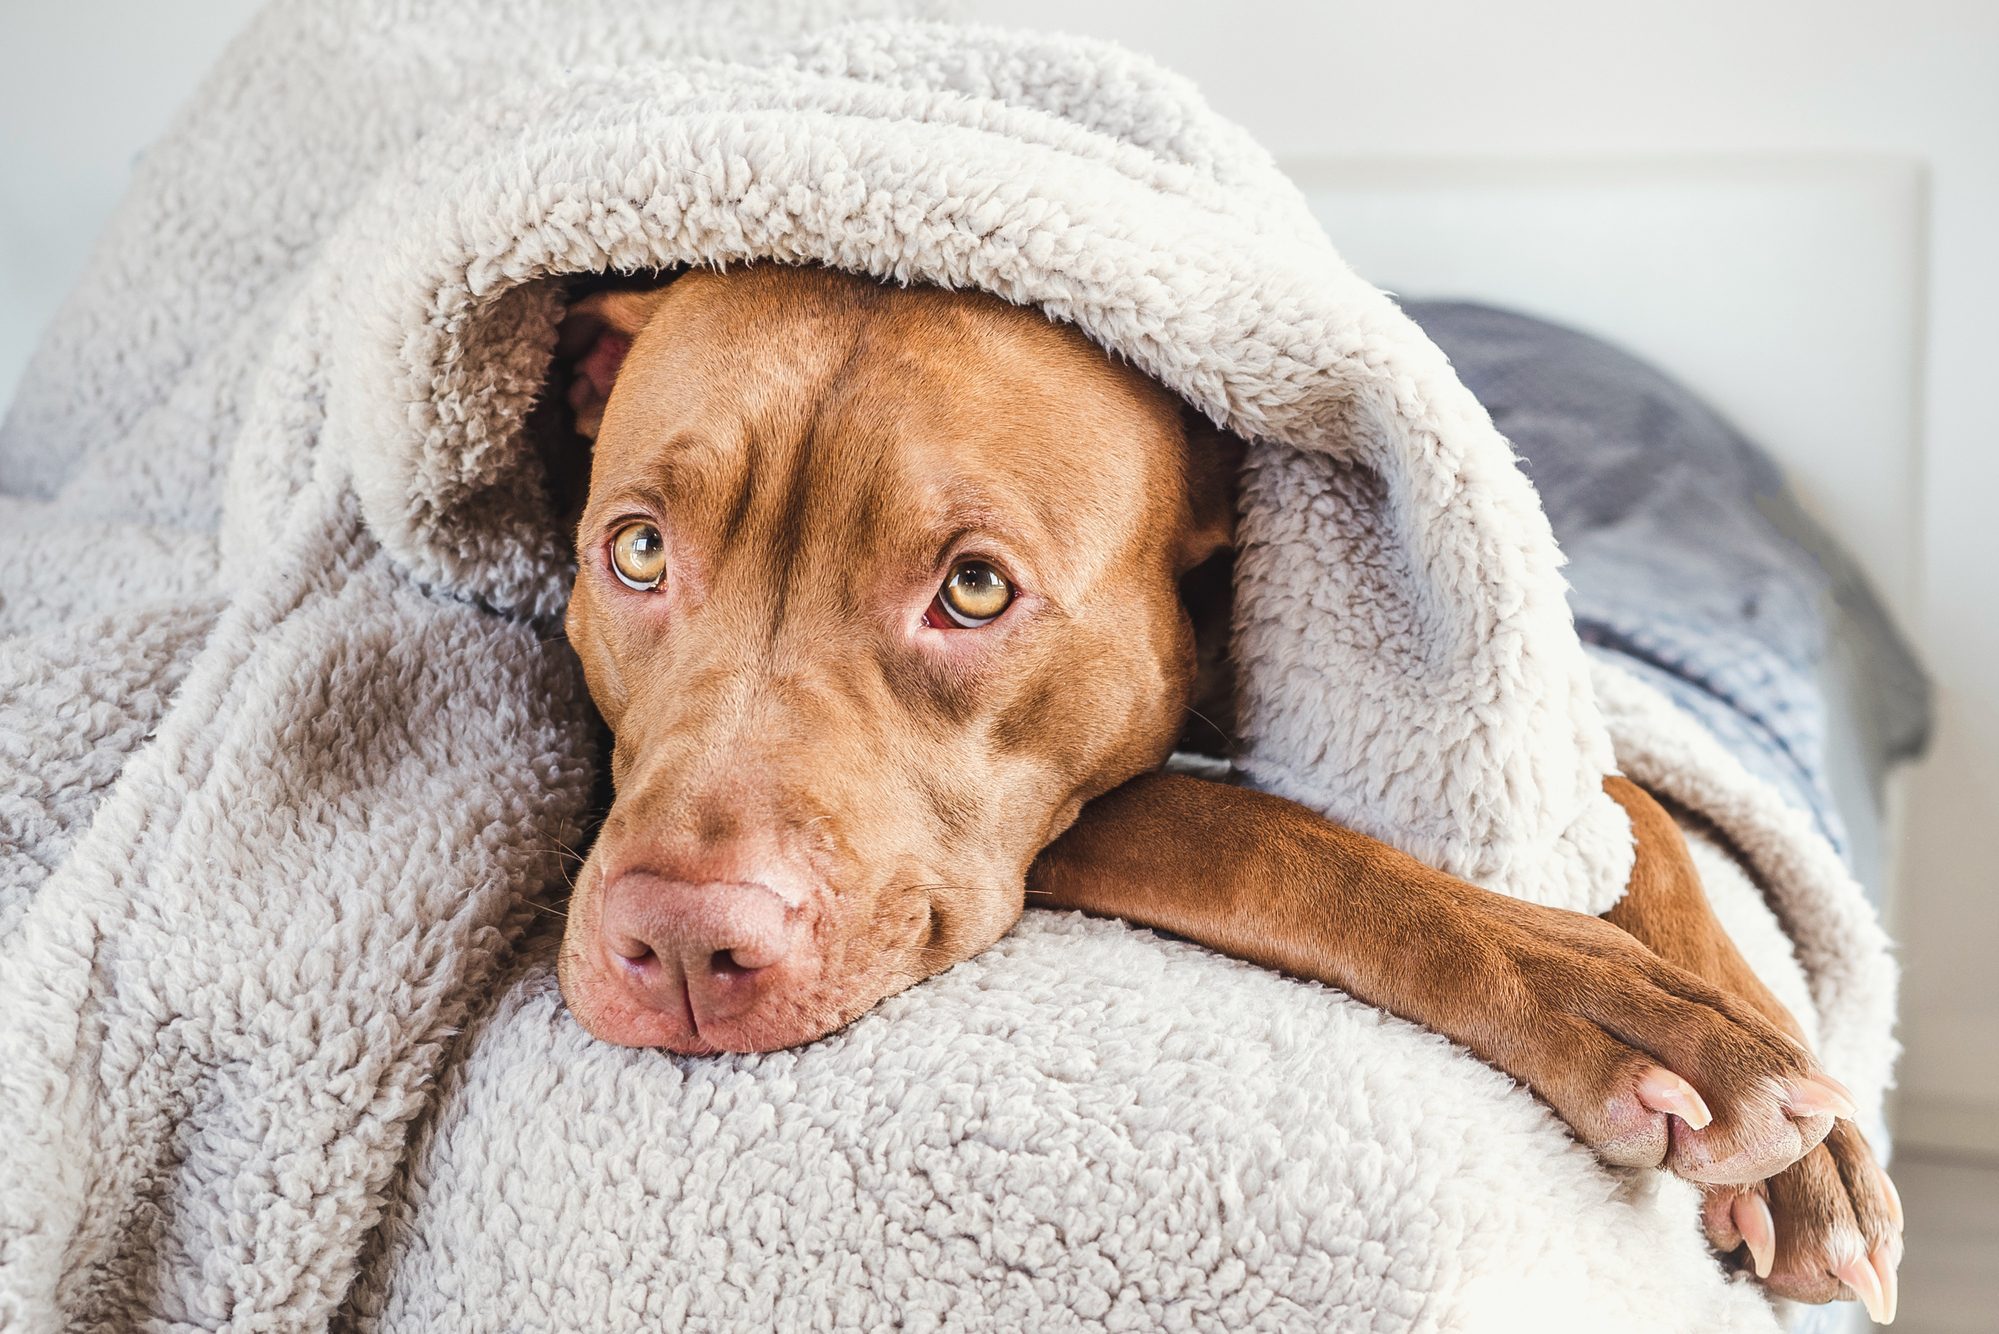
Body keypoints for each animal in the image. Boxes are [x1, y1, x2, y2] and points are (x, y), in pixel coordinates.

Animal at [555, 266, 1895, 1320]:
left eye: (974, 588)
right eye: (639, 550)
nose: (683, 941)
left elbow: (1627, 803)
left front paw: (1796, 1126)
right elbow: (1263, 832)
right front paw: (1617, 1009)